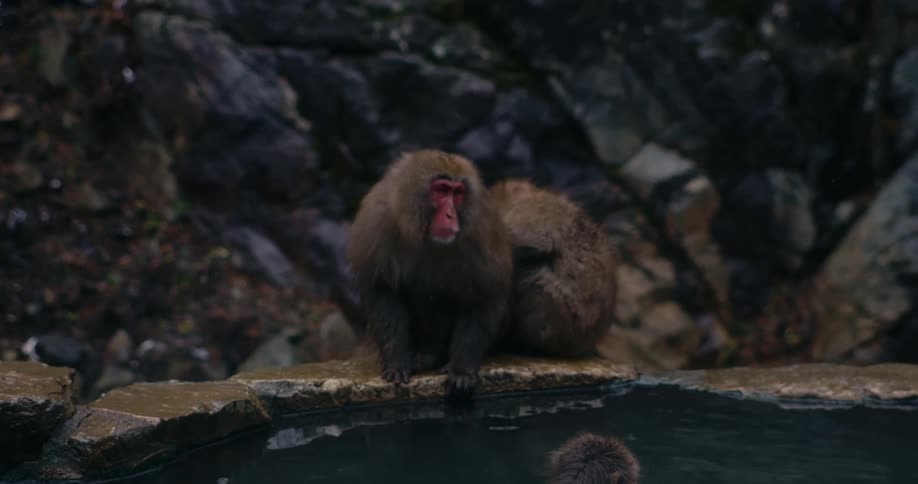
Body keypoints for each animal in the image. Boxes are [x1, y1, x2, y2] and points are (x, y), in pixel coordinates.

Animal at [346, 150, 513, 397]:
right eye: (442, 189)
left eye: (457, 193)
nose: (451, 215)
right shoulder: (378, 221)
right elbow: (381, 289)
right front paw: (397, 360)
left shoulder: (480, 231)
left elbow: (484, 296)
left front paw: (462, 370)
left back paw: (432, 356)